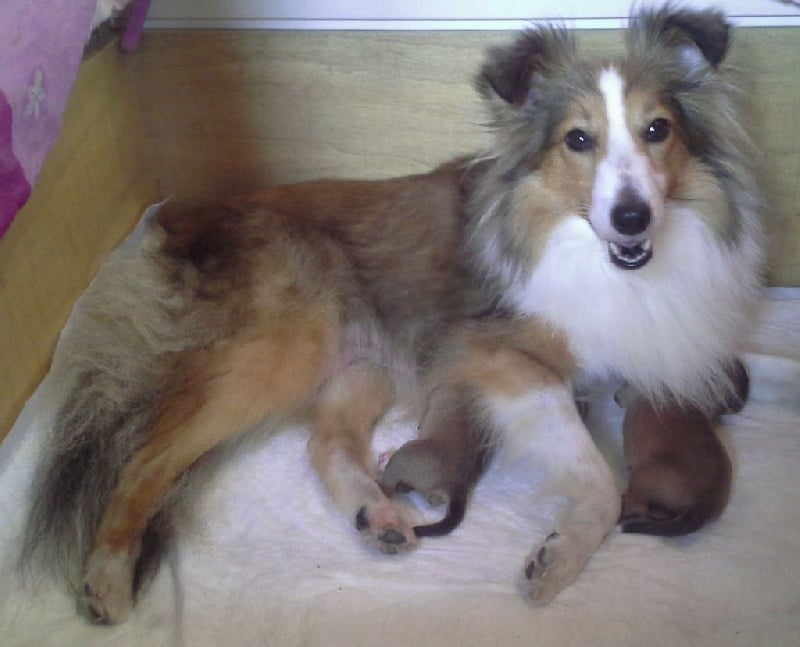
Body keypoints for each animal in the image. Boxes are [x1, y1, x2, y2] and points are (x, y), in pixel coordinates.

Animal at [21, 3, 764, 624]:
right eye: (578, 140)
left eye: (657, 130)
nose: (632, 217)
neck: (594, 251)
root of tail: (183, 220)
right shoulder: (496, 353)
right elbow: (598, 478)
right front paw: (556, 558)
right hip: (284, 344)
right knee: (146, 456)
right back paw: (107, 576)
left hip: (362, 361)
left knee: (324, 444)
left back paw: (375, 513)